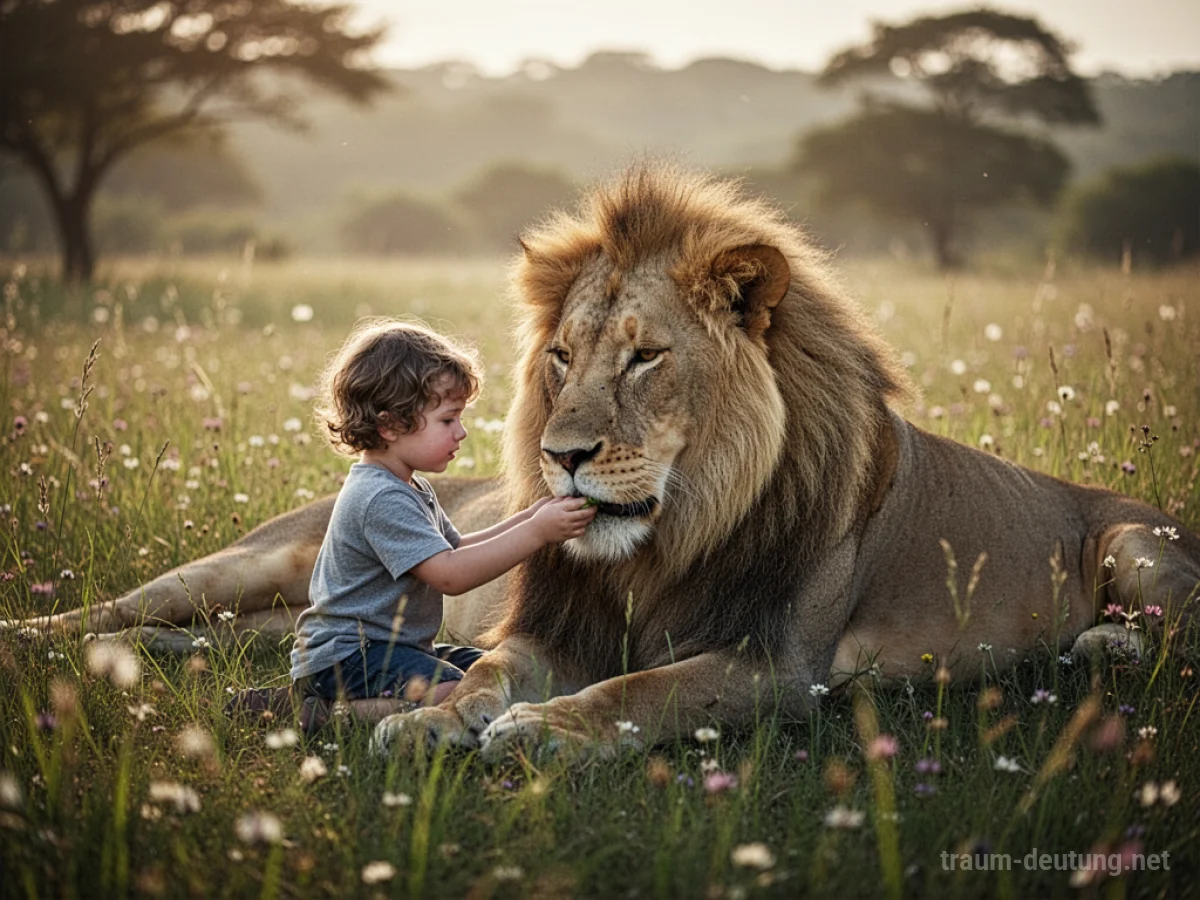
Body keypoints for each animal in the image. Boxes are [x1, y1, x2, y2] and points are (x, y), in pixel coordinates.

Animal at [8, 165, 1199, 760]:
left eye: (644, 358)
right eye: (563, 358)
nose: (560, 458)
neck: (670, 537)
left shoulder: (777, 664)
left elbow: (646, 690)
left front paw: (541, 733)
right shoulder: (553, 624)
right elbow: (486, 671)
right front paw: (435, 719)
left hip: (1142, 544)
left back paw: (1096, 644)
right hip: (256, 566)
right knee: (127, 609)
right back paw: (40, 638)